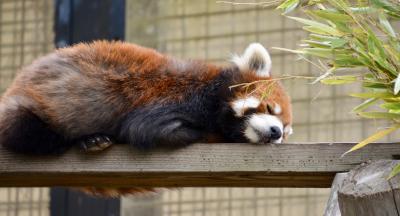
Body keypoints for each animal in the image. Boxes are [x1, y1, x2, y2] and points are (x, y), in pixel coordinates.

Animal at [0, 41, 294, 197]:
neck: (211, 92)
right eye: (270, 108)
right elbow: (145, 129)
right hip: (26, 111)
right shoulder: (173, 100)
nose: (276, 132)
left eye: (287, 129)